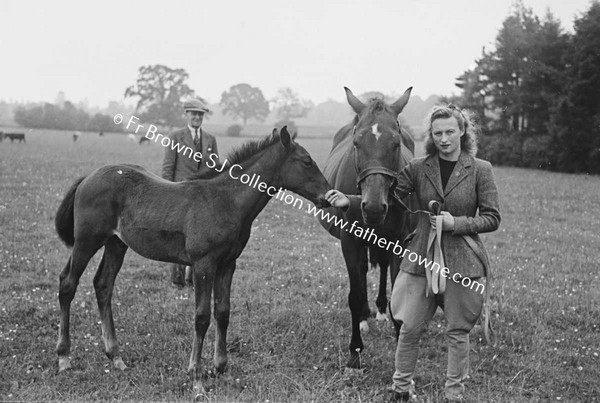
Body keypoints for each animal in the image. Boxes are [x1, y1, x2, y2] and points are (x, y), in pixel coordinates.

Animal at [54, 128, 330, 396]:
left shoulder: (228, 264)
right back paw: (64, 357)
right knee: (68, 283)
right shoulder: (203, 264)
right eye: (307, 161)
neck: (226, 201)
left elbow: (223, 311)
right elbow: (202, 317)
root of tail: (88, 177)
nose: (328, 197)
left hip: (116, 243)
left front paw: (220, 367)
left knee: (103, 285)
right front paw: (197, 377)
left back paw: (115, 357)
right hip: (87, 241)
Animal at [318, 88, 418, 370]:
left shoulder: (399, 243)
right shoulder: (350, 242)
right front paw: (355, 351)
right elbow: (354, 293)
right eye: (356, 143)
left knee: (381, 266)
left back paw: (380, 310)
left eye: (396, 144)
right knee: (363, 271)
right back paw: (364, 316)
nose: (373, 208)